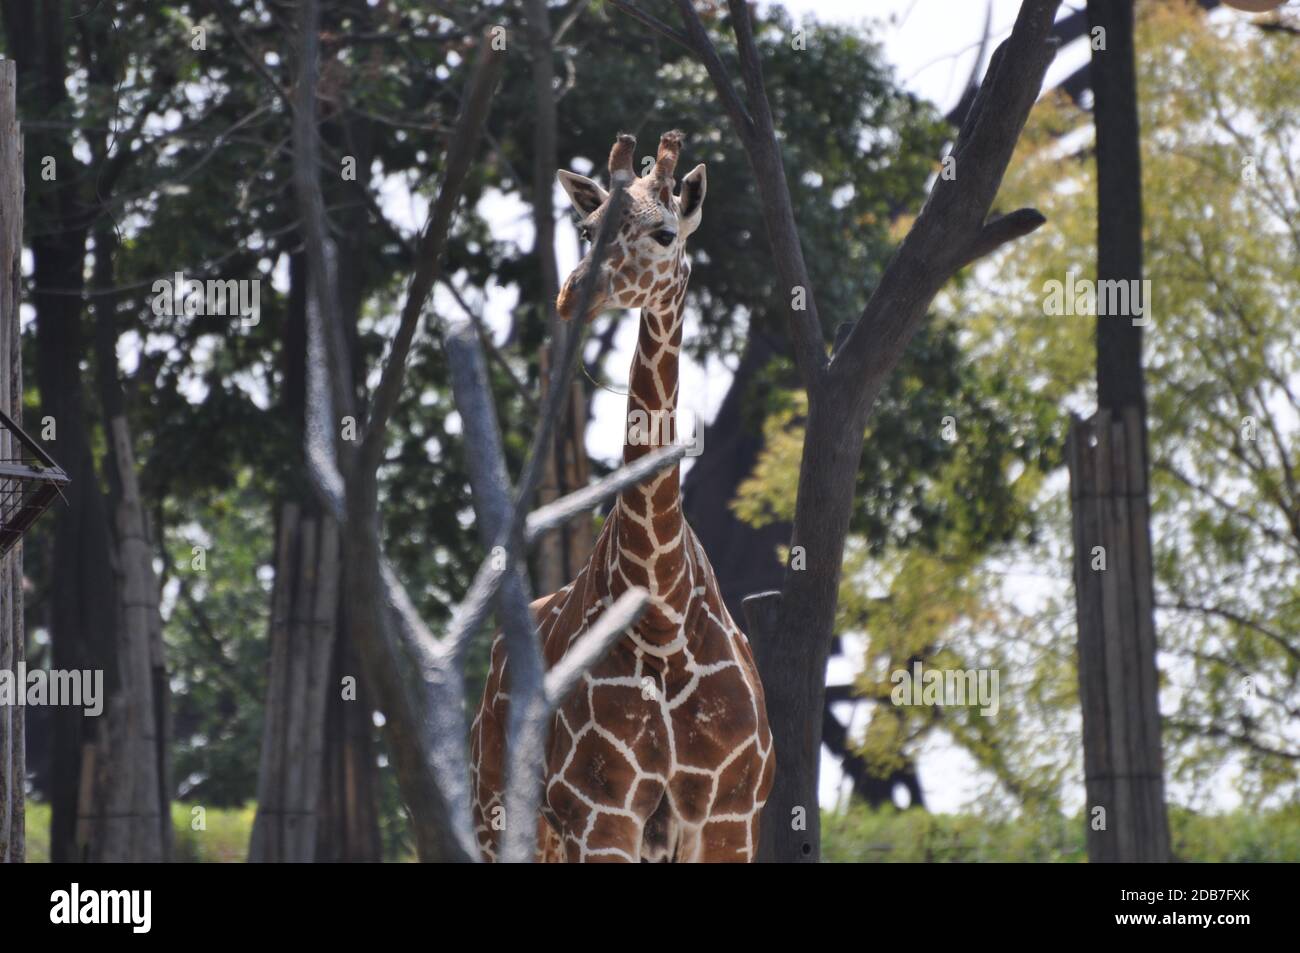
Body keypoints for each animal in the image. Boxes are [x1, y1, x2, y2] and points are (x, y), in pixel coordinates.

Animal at [470, 131, 775, 863]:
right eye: (587, 230)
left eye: (664, 232)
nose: (572, 294)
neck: (663, 616)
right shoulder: (601, 814)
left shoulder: (727, 818)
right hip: (502, 818)